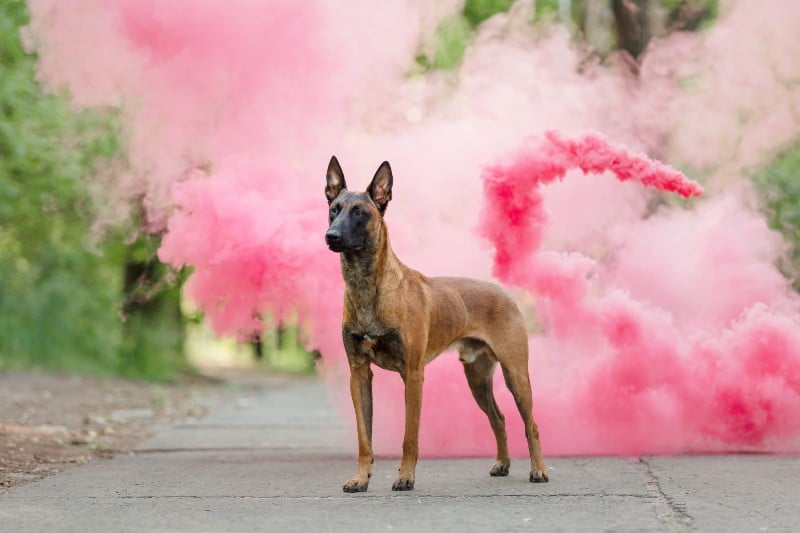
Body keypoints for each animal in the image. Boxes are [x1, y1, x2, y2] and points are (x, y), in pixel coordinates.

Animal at [324, 154, 552, 490]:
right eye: (333, 209)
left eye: (360, 213)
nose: (332, 236)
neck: (368, 287)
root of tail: (503, 292)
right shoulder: (359, 374)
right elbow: (364, 439)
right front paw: (360, 479)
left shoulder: (413, 374)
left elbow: (410, 436)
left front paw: (405, 477)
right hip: (477, 378)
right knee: (498, 418)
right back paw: (502, 463)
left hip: (516, 374)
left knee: (531, 423)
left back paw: (539, 470)